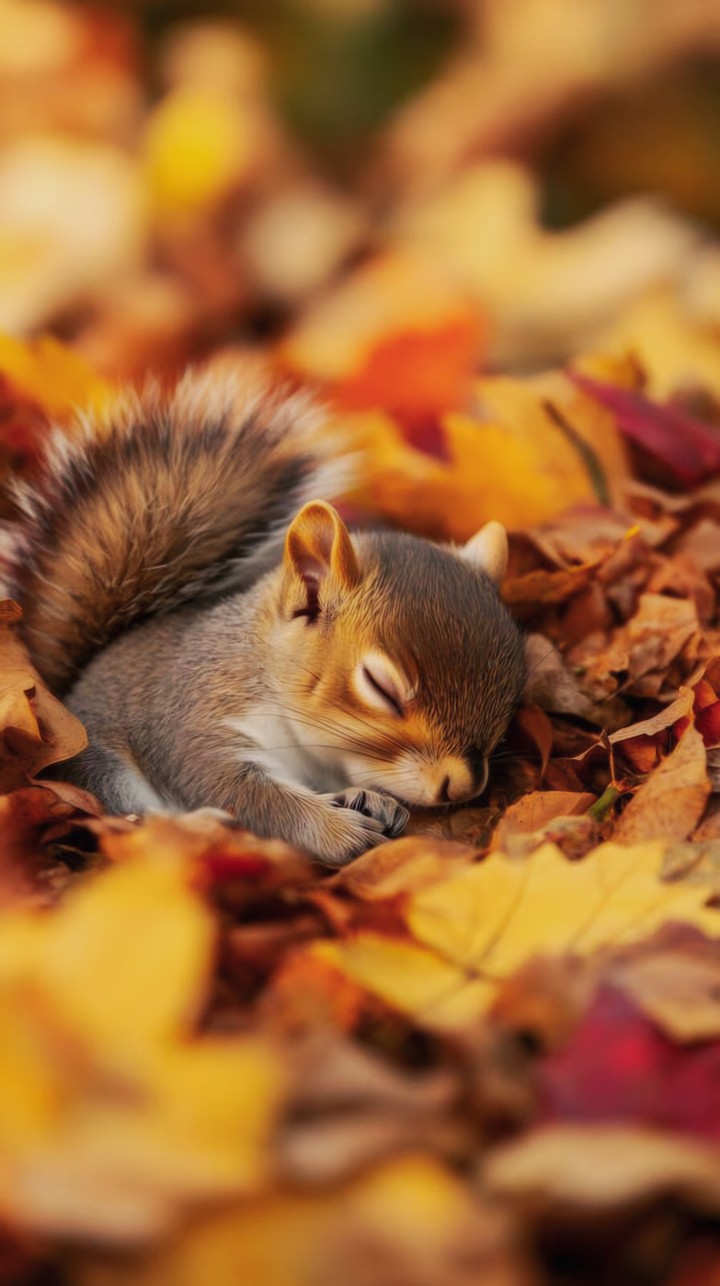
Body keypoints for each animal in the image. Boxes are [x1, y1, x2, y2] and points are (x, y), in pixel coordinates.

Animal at [2, 365, 526, 865]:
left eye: (513, 690)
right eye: (382, 688)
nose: (462, 787)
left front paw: (368, 799)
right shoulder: (197, 717)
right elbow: (243, 791)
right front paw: (337, 831)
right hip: (100, 766)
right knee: (134, 819)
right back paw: (204, 826)